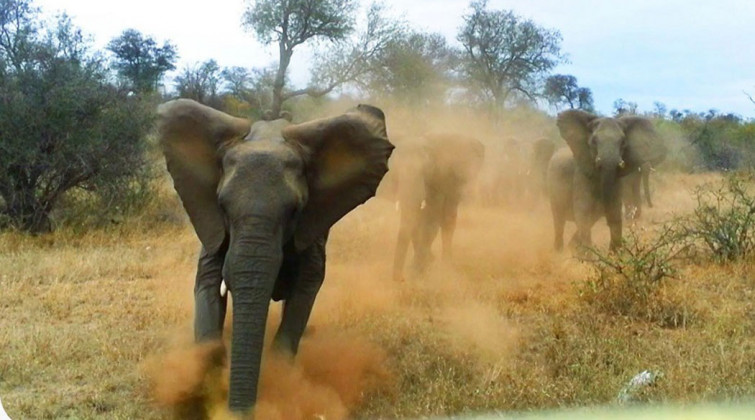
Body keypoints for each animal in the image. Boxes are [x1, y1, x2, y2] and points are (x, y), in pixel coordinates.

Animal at [159, 99, 396, 416]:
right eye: (222, 206)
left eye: (295, 210)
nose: (239, 414)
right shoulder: (211, 225)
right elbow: (207, 283)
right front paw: (205, 378)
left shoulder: (312, 227)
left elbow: (305, 289)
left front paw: (279, 380)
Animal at [392, 133, 488, 280]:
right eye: (395, 170)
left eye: (425, 169)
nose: (401, 280)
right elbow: (416, 220)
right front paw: (424, 264)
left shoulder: (437, 178)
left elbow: (430, 219)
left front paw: (419, 270)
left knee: (448, 219)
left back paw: (446, 265)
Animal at [548, 110, 668, 251]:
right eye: (594, 141)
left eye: (623, 142)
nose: (651, 206)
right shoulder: (581, 175)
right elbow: (583, 214)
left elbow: (614, 213)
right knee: (559, 222)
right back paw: (559, 252)